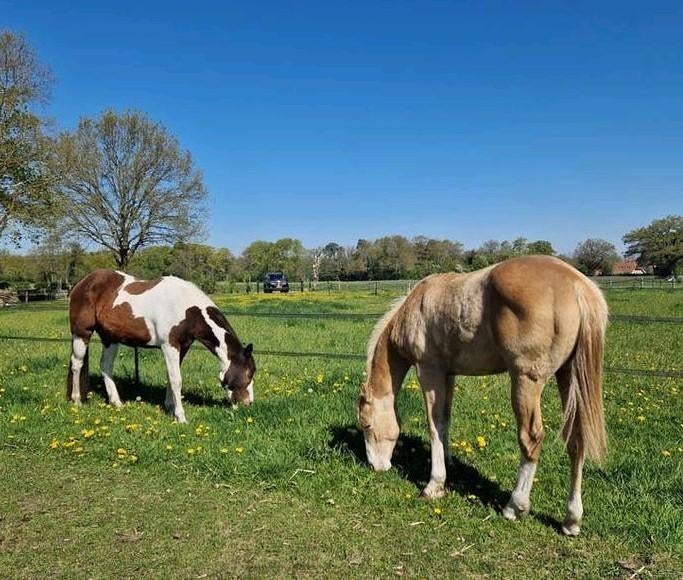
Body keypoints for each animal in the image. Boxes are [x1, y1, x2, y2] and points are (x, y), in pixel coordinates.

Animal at [67, 269, 256, 423]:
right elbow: (176, 379)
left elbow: (170, 376)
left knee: (105, 366)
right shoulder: (170, 346)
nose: (248, 403)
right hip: (82, 333)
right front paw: (180, 417)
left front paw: (170, 406)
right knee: (77, 364)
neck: (186, 308)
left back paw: (117, 403)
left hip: (110, 338)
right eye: (248, 373)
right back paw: (76, 400)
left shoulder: (182, 347)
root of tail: (82, 283)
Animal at [357, 255, 608, 536]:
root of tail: (578, 285)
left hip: (526, 381)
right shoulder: (448, 374)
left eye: (367, 425)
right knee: (576, 439)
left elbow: (433, 425)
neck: (416, 306)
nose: (375, 467)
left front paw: (434, 485)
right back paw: (571, 520)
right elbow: (445, 421)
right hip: (568, 376)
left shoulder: (429, 371)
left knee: (531, 438)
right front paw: (449, 463)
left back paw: (515, 506)